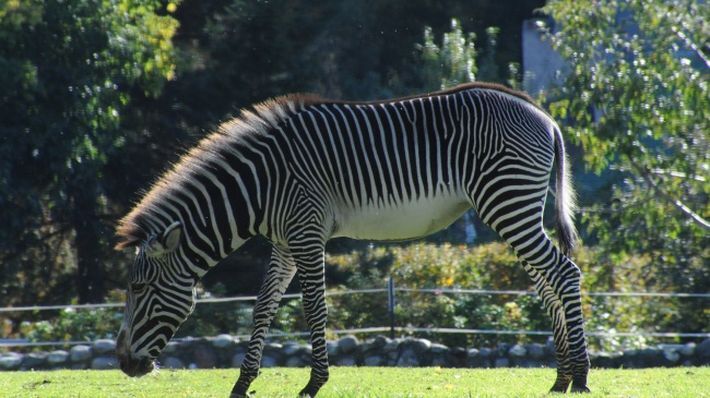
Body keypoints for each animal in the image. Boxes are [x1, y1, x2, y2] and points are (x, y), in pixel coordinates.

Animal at [114, 82, 592, 396]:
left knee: (565, 273)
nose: (123, 364)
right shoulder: (285, 242)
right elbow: (262, 308)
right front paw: (242, 383)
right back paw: (561, 377)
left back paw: (583, 376)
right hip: (514, 207)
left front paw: (313, 382)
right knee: (547, 281)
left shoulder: (307, 232)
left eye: (139, 288)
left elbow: (314, 309)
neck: (259, 185)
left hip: (507, 201)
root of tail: (544, 116)